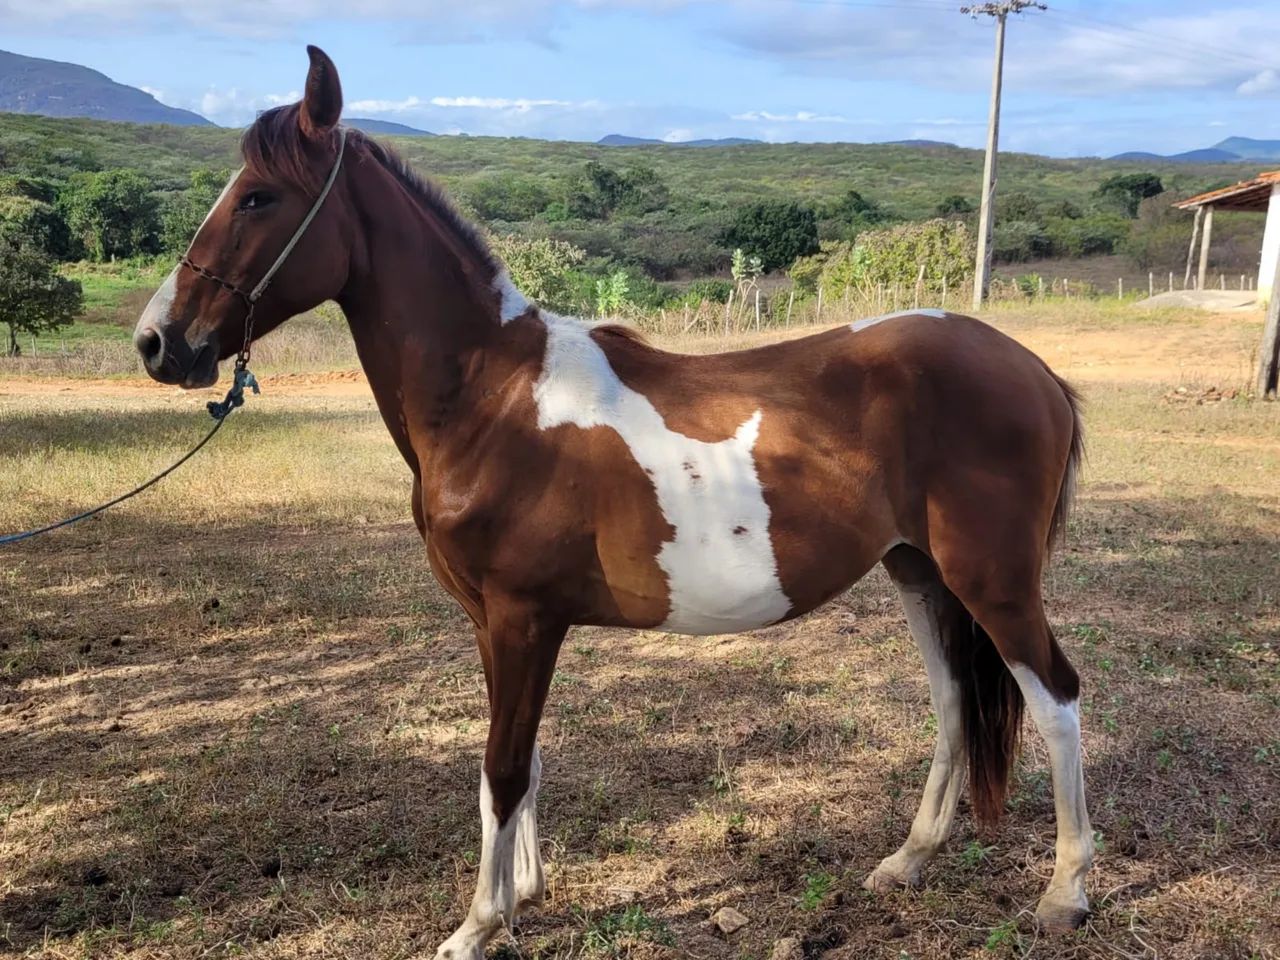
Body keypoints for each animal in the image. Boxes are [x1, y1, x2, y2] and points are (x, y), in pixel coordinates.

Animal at [133, 45, 1092, 959]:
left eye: (258, 197)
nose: (158, 342)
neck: (491, 396)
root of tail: (1033, 370)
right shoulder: (494, 622)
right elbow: (520, 759)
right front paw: (523, 895)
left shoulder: (523, 617)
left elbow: (503, 767)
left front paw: (478, 925)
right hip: (918, 572)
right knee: (955, 704)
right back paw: (907, 861)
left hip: (991, 580)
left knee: (1055, 698)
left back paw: (1065, 895)